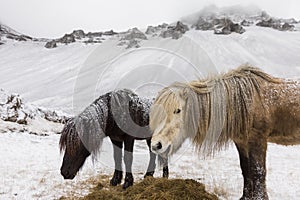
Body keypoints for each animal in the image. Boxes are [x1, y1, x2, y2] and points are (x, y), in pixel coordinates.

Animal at [151, 65, 298, 198]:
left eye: (178, 110)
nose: (156, 145)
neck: (242, 102)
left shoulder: (258, 139)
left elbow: (258, 171)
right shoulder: (241, 142)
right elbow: (246, 169)